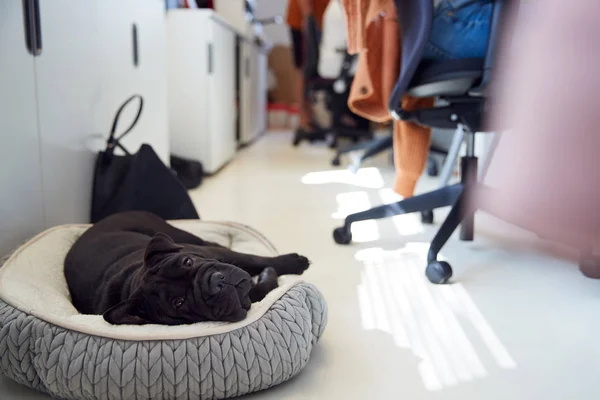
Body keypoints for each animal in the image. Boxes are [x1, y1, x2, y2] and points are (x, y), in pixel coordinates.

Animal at [65, 212, 310, 324]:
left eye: (188, 262)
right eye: (179, 303)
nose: (216, 283)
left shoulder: (219, 256)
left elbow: (254, 258)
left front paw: (293, 262)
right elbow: (258, 289)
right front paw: (268, 277)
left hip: (183, 235)